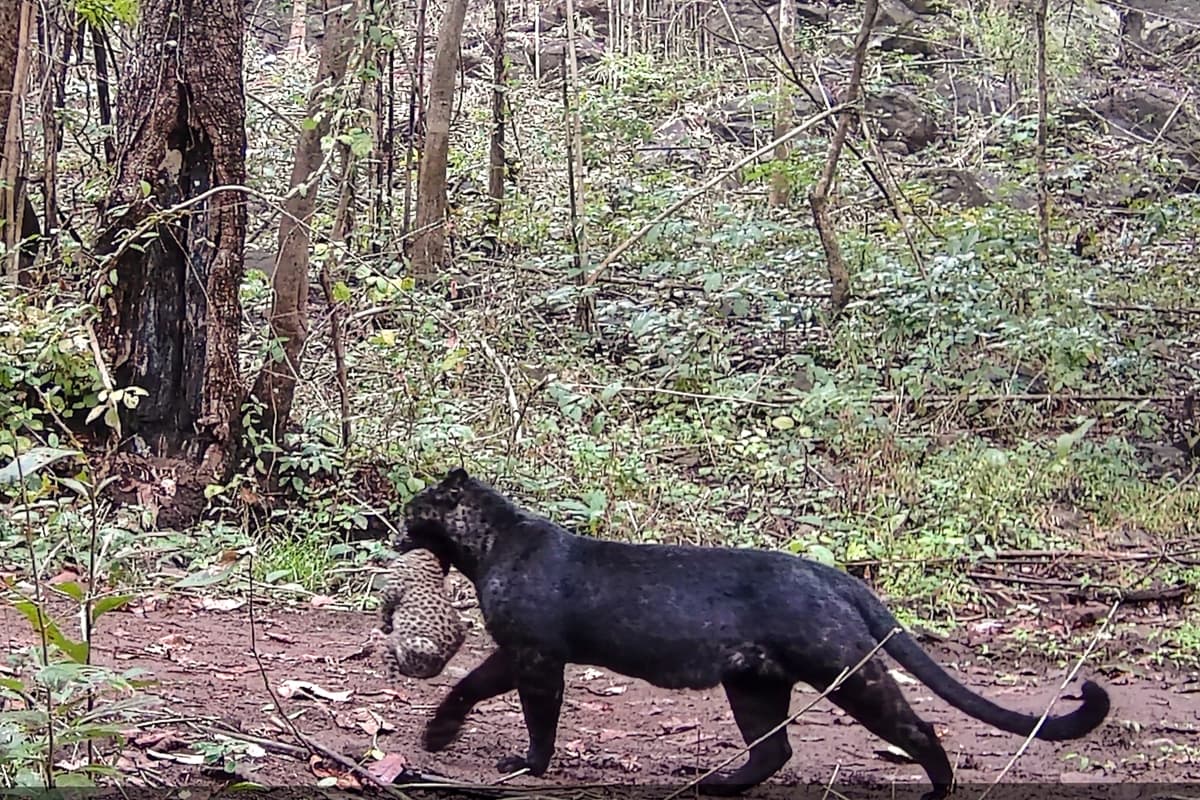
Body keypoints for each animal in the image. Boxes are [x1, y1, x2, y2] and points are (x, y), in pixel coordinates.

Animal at [395, 467, 1111, 800]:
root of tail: (831, 573)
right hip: (754, 683)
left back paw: (938, 787)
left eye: (413, 510)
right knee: (774, 750)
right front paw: (438, 736)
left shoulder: (536, 656)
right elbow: (470, 686)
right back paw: (716, 784)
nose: (396, 532)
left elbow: (532, 713)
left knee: (916, 727)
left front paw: (525, 765)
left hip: (842, 670)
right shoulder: (516, 653)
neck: (492, 547)